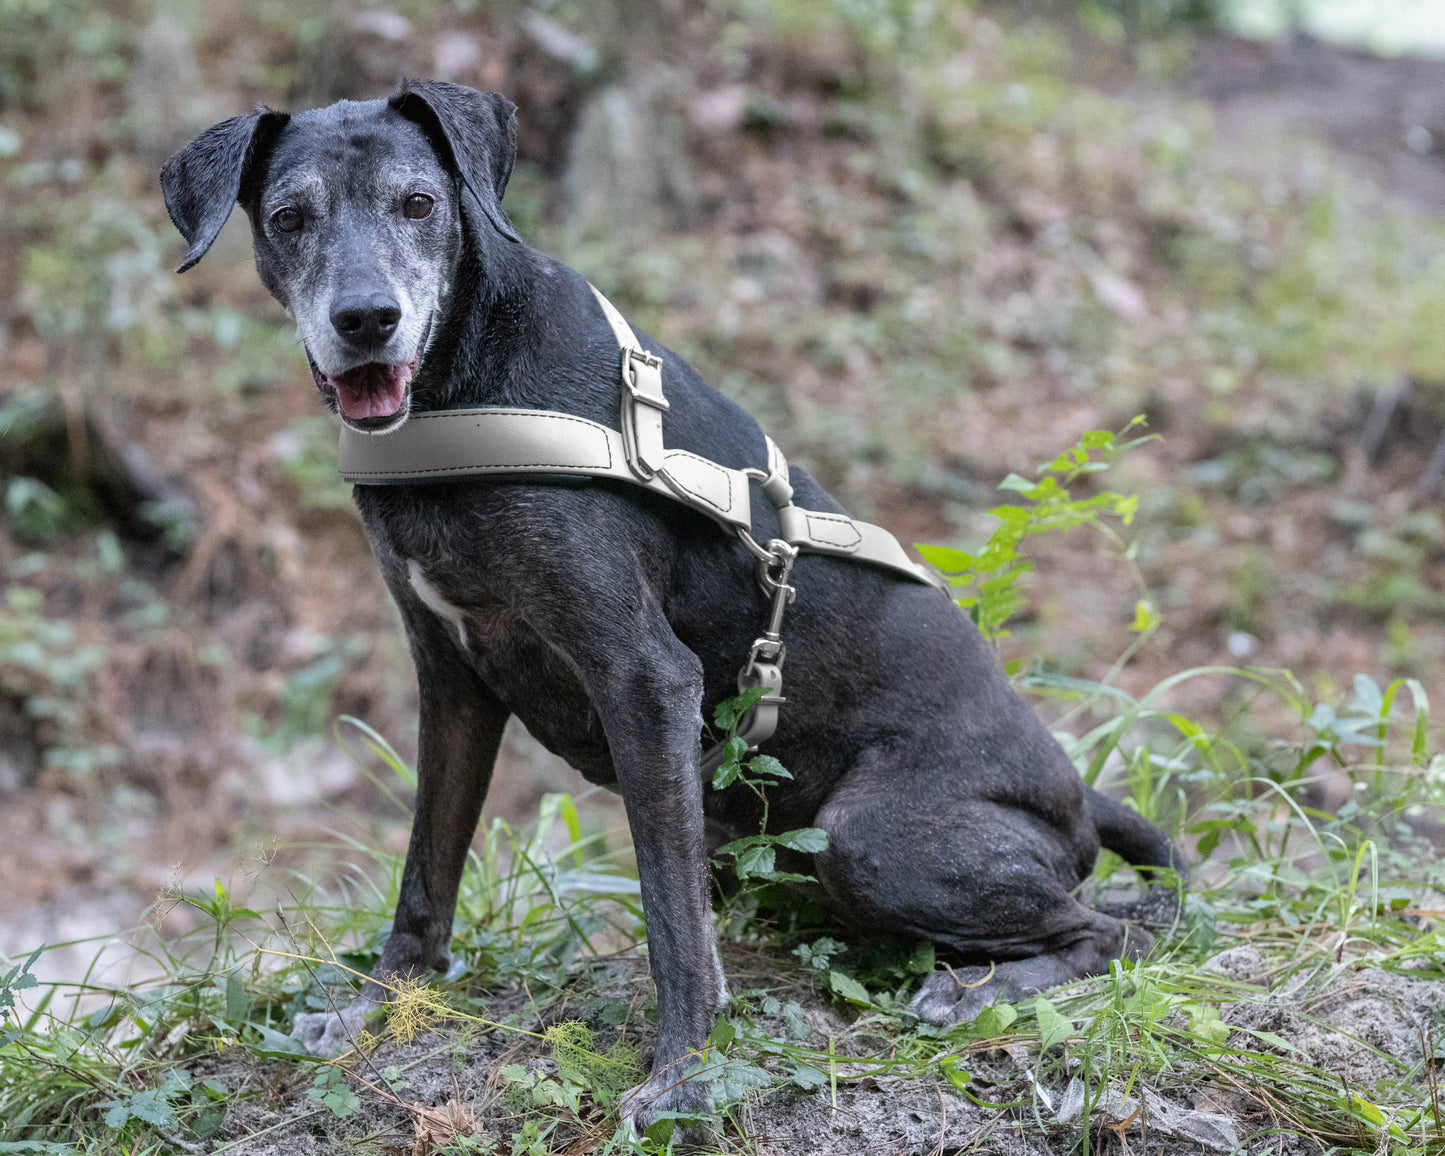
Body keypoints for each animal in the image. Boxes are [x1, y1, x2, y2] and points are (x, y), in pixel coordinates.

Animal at [161, 83, 1173, 1138]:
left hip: (872, 837)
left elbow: (670, 919)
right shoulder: (451, 679)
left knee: (1116, 933)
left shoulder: (644, 679)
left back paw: (978, 990)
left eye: (418, 203)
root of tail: (1076, 798)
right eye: (289, 217)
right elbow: (424, 871)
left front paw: (685, 1076)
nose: (366, 320)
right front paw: (378, 1004)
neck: (460, 386)